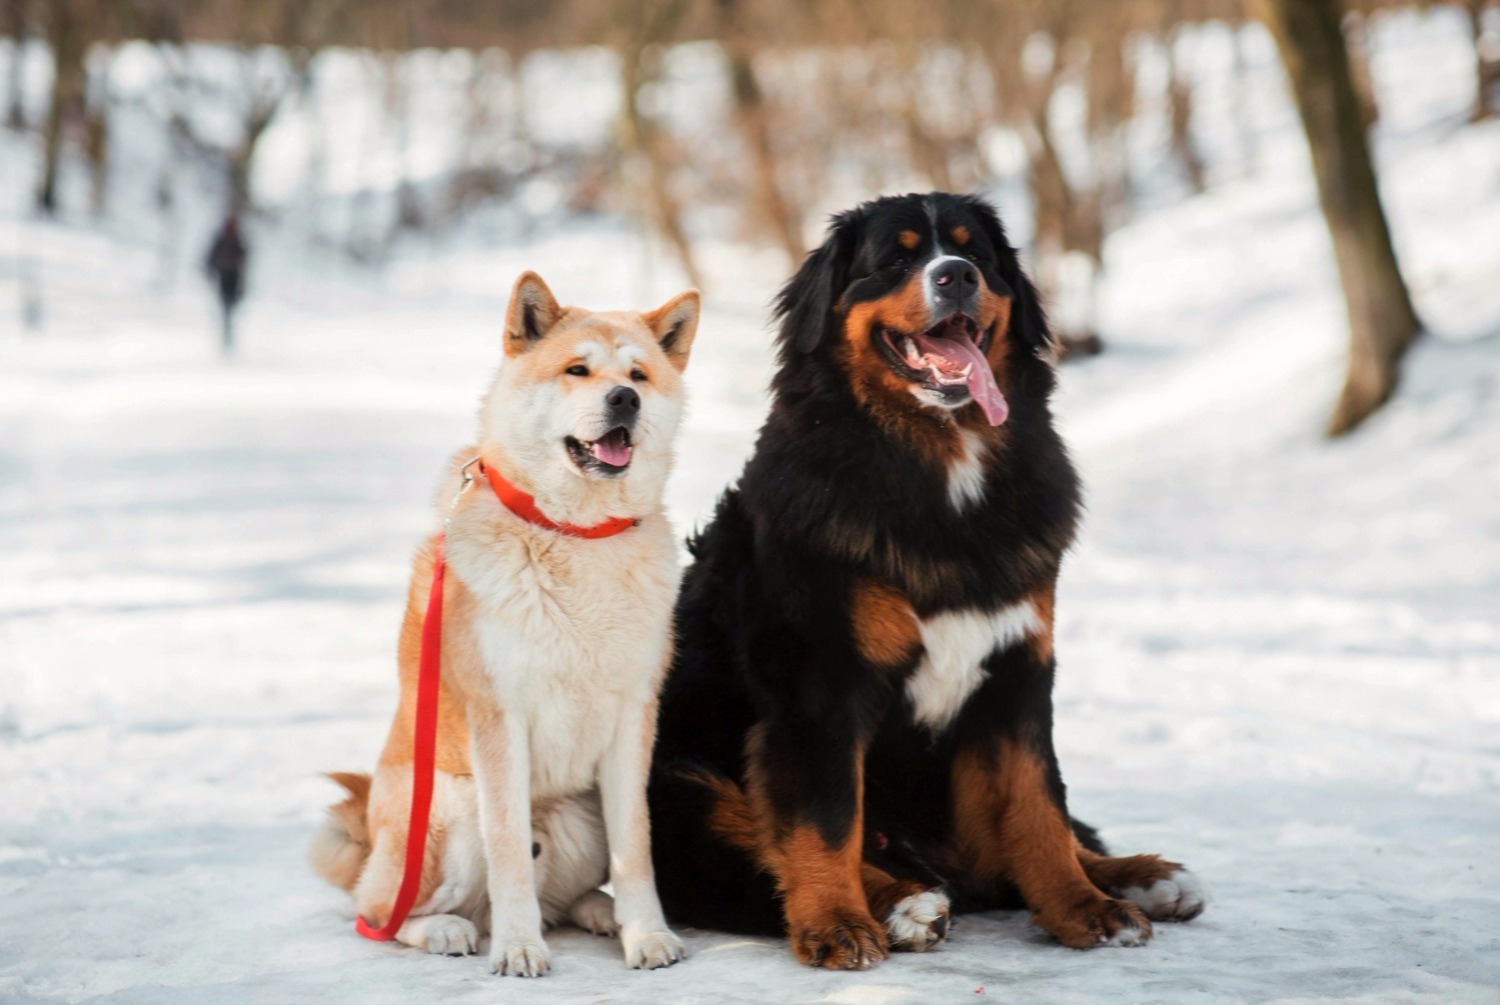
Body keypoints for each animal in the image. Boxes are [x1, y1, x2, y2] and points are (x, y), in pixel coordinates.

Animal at [313, 270, 699, 978]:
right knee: (382, 912)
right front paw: (519, 950)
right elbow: (510, 851)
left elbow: (637, 846)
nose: (625, 398)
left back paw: (599, 912)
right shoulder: (499, 722)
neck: (574, 534)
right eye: (578, 370)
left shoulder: (633, 718)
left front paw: (646, 935)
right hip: (447, 811)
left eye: (638, 373)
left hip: (580, 814)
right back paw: (450, 929)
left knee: (560, 899)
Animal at [648, 193, 1206, 972]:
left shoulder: (1015, 674)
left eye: (977, 254)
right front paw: (838, 924)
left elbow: (1039, 806)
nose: (956, 276)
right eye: (898, 258)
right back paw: (902, 903)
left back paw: (1142, 876)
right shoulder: (818, 683)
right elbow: (823, 821)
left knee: (1020, 849)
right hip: (676, 780)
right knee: (746, 849)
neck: (943, 460)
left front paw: (1084, 907)